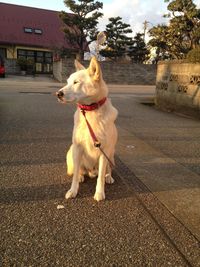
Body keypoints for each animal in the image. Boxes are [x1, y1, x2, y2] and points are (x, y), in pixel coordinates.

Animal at [56, 57, 118, 202]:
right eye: (67, 82)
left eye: (76, 82)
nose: (58, 94)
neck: (90, 111)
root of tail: (91, 171)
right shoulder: (78, 147)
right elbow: (74, 177)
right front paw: (73, 191)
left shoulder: (104, 151)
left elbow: (101, 177)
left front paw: (99, 193)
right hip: (71, 153)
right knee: (78, 170)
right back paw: (81, 176)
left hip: (111, 154)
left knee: (106, 170)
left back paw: (109, 177)